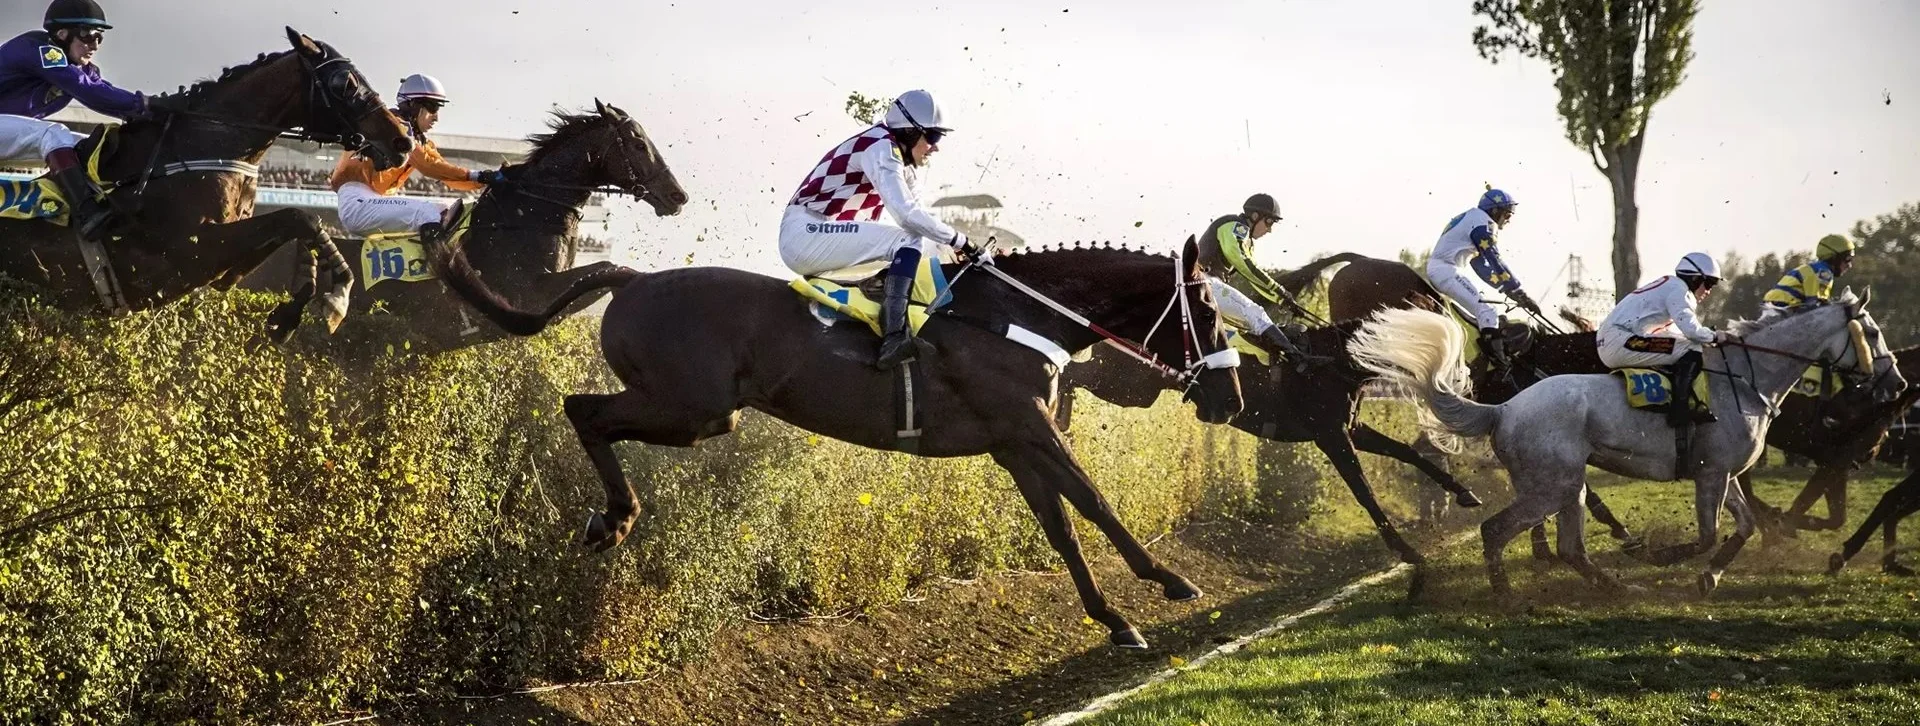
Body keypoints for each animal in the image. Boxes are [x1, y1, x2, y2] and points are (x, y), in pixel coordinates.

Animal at [0, 28, 413, 339]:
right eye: (346, 82)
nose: (402, 140)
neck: (198, 148)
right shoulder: (185, 253)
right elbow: (301, 217)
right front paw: (335, 297)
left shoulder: (223, 259)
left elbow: (291, 226)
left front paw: (296, 303)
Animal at [256, 99, 688, 352]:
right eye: (637, 143)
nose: (677, 195)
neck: (526, 216)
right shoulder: (527, 291)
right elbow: (608, 269)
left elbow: (603, 274)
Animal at [423, 237, 1244, 649]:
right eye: (1208, 309)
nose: (1232, 398)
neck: (1011, 318)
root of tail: (632, 278)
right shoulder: (1028, 427)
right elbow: (1097, 504)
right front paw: (1170, 581)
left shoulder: (1013, 444)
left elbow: (1064, 528)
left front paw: (1114, 620)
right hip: (693, 407)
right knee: (583, 409)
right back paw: (615, 517)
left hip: (695, 411)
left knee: (588, 412)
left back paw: (610, 518)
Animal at [1348, 291, 1903, 597]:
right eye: (1874, 332)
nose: (1896, 383)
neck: (1748, 379)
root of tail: (1503, 409)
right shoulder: (1712, 474)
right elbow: (1707, 535)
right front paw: (1661, 558)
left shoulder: (1722, 472)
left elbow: (1742, 527)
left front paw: (1709, 578)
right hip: (1554, 486)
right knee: (1495, 530)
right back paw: (1507, 595)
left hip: (1568, 487)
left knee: (1570, 549)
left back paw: (1615, 587)